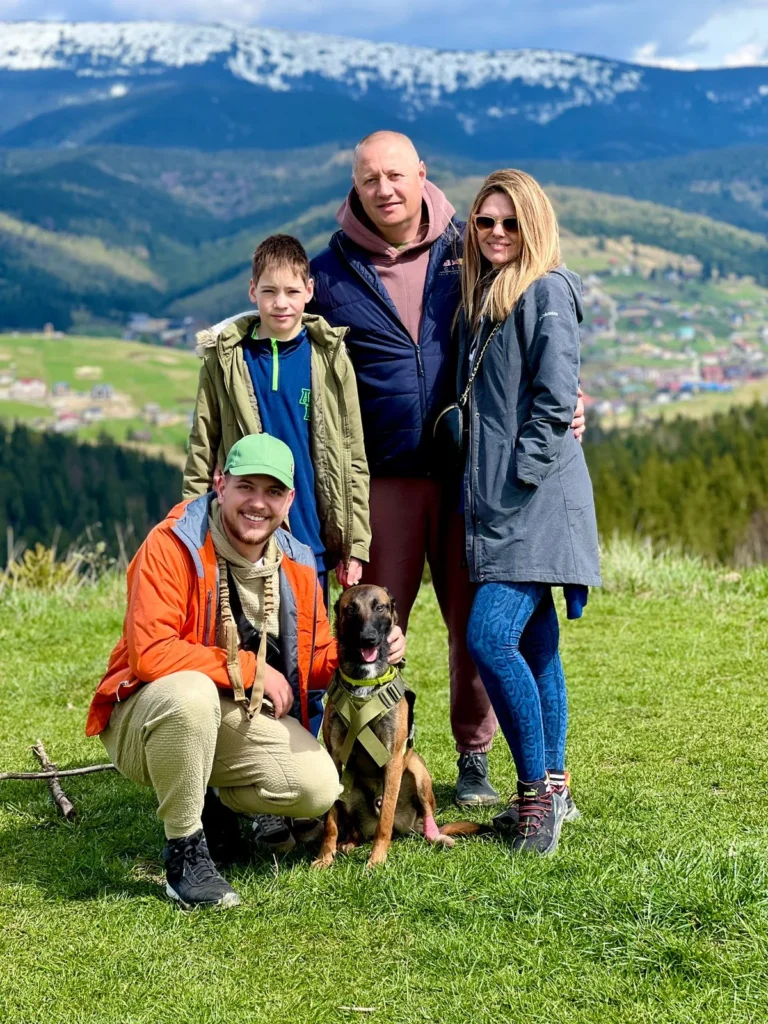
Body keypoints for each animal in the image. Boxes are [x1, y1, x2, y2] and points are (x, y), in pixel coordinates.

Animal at [312, 584, 485, 870]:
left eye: (380, 607)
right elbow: (330, 822)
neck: (364, 684)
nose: (368, 639)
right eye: (351, 609)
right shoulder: (335, 760)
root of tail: (408, 828)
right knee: (356, 828)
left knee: (423, 819)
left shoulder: (393, 759)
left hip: (417, 772)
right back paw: (348, 843)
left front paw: (377, 859)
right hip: (348, 791)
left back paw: (437, 837)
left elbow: (385, 820)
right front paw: (325, 856)